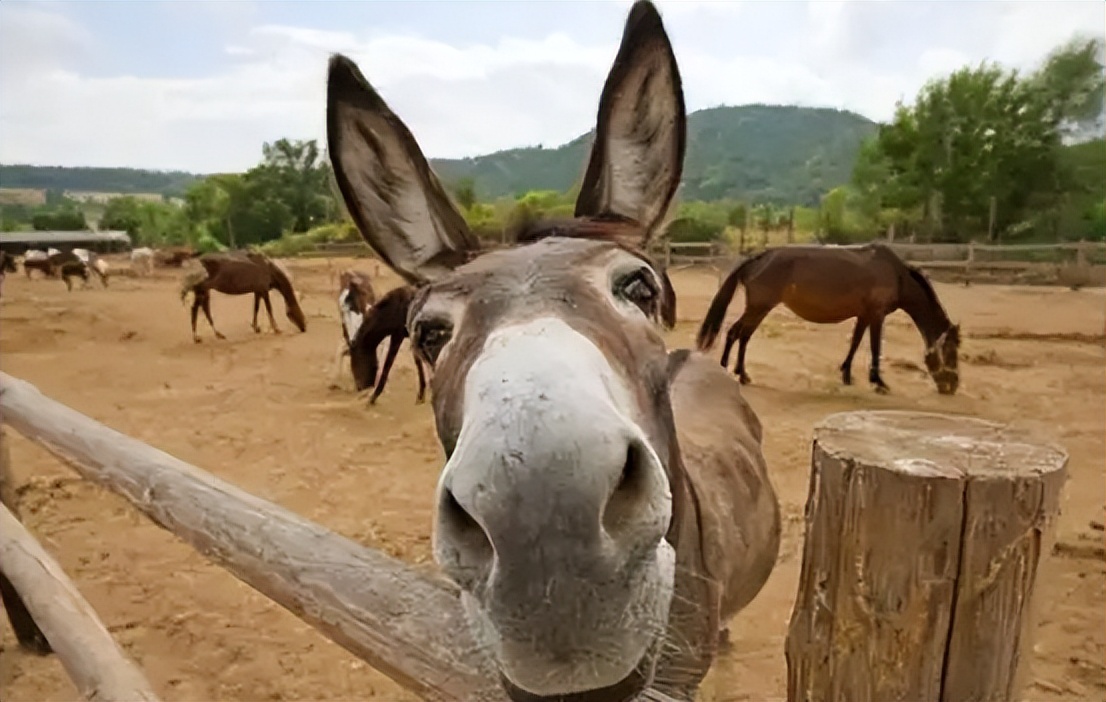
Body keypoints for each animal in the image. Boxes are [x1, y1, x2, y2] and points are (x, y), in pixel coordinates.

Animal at [179, 249, 307, 342]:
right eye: (294, 311)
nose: (304, 327)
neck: (269, 269)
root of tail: (195, 262)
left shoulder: (258, 291)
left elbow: (256, 309)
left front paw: (256, 327)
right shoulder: (264, 290)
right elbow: (269, 309)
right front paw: (276, 329)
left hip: (204, 291)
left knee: (201, 309)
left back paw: (215, 335)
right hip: (203, 290)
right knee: (197, 309)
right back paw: (199, 337)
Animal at [698, 243, 960, 395]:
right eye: (951, 350)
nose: (952, 386)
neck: (896, 274)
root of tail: (759, 257)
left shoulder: (864, 315)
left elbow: (855, 342)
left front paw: (846, 374)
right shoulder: (876, 315)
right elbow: (875, 347)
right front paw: (878, 381)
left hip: (758, 309)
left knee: (741, 335)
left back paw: (738, 372)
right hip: (758, 308)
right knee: (736, 334)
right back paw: (731, 371)